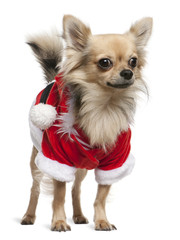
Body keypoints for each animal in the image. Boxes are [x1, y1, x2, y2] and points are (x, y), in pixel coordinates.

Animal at [21, 14, 153, 231]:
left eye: (133, 61)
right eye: (105, 62)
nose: (128, 72)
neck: (103, 108)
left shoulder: (113, 162)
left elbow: (100, 197)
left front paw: (102, 221)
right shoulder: (58, 159)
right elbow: (59, 195)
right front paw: (59, 221)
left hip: (81, 167)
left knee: (76, 189)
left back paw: (79, 215)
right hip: (37, 160)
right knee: (35, 188)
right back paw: (28, 216)